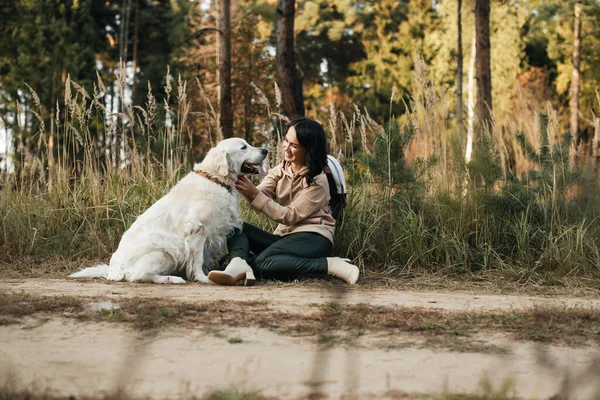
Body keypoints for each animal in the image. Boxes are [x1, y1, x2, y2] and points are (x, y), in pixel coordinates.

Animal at [69, 139, 268, 282]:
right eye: (243, 147)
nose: (265, 150)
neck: (215, 179)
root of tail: (113, 269)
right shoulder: (197, 230)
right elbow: (197, 259)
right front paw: (202, 278)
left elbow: (202, 259)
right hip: (164, 248)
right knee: (136, 275)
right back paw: (172, 279)